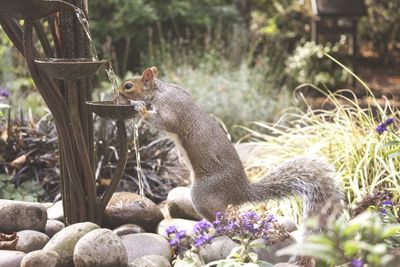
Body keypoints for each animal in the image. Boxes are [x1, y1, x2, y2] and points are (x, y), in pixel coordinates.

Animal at [118, 66, 344, 234]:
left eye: (128, 86)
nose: (117, 93)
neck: (160, 90)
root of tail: (241, 191)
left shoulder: (172, 109)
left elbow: (164, 122)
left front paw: (141, 109)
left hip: (204, 193)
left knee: (224, 220)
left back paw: (215, 230)